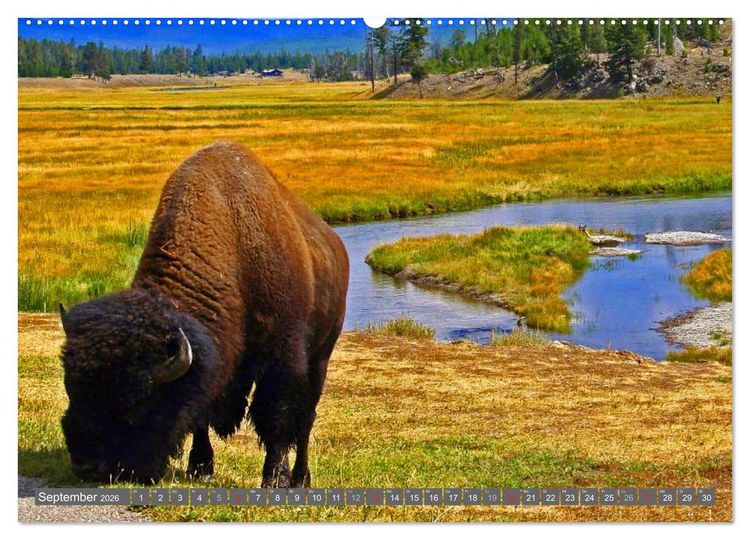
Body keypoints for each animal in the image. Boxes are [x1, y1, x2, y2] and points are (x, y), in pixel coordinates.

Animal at [59, 142, 349, 487]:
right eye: (71, 390)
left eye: (136, 405)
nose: (86, 466)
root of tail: (336, 245)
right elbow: (201, 413)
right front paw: (200, 467)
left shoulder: (282, 355)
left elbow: (276, 416)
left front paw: (273, 479)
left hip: (321, 356)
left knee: (306, 420)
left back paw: (301, 478)